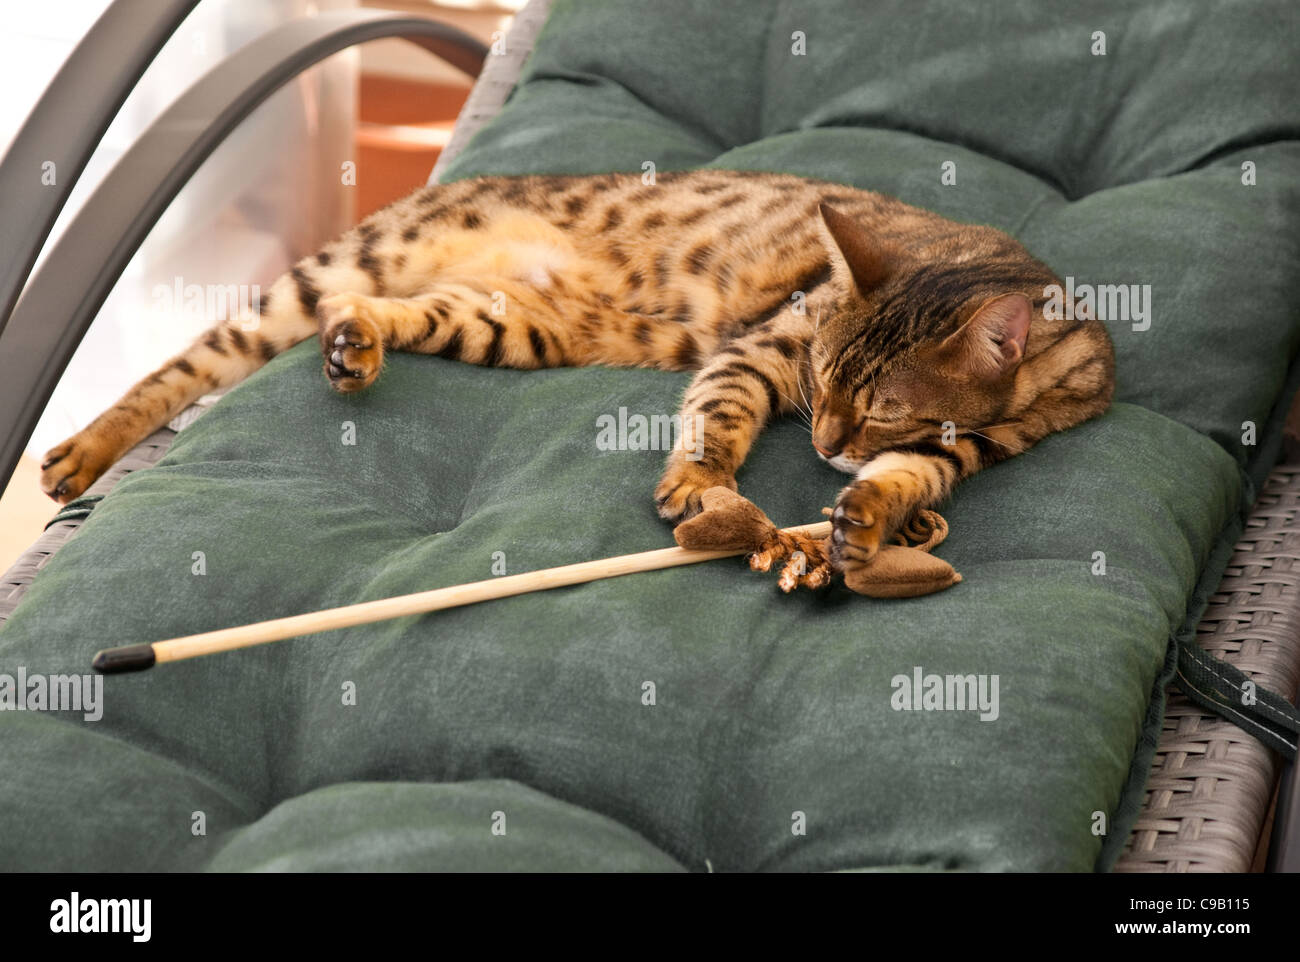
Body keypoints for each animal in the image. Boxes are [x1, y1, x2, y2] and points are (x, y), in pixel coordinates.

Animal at [43, 171, 1118, 574]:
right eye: (819, 378)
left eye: (884, 408)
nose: (820, 442)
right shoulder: (761, 346)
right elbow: (719, 412)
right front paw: (700, 486)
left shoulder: (989, 443)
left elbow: (916, 474)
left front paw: (870, 513)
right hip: (335, 273)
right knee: (183, 365)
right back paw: (77, 456)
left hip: (504, 324)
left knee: (373, 321)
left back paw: (358, 346)